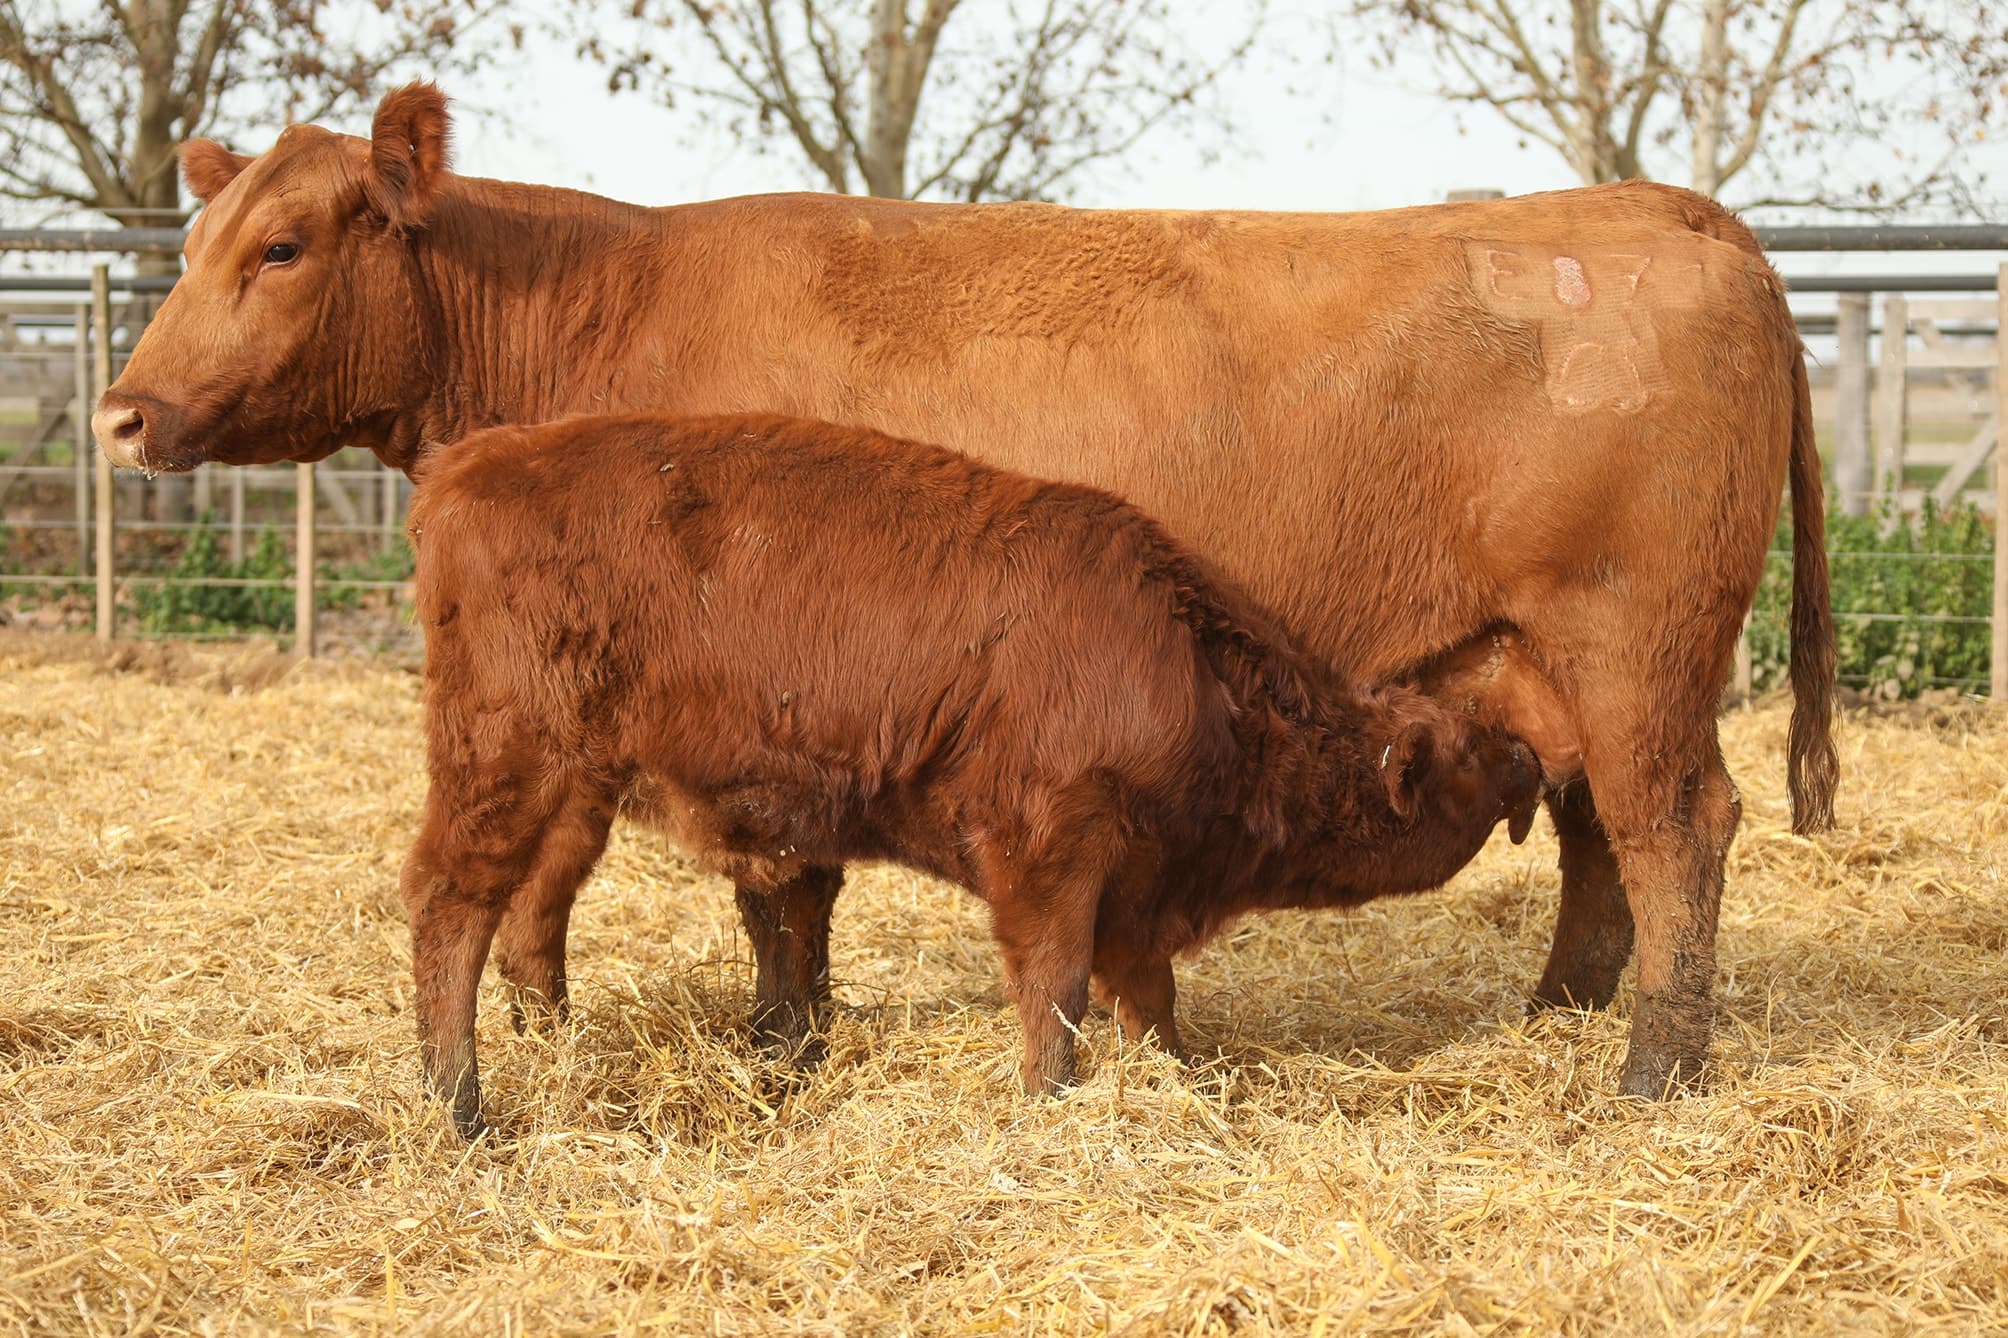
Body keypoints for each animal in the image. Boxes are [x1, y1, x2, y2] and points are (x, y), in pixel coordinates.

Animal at [402, 412, 1545, 1137]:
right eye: (1463, 753)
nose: (1530, 758)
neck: (1184, 661)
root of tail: (471, 463)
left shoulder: (1135, 885)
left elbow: (1149, 995)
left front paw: (1176, 1080)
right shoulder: (1052, 854)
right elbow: (1056, 986)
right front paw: (1053, 1100)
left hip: (568, 786)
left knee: (525, 913)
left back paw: (528, 1059)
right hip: (506, 762)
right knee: (452, 904)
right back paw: (460, 1106)